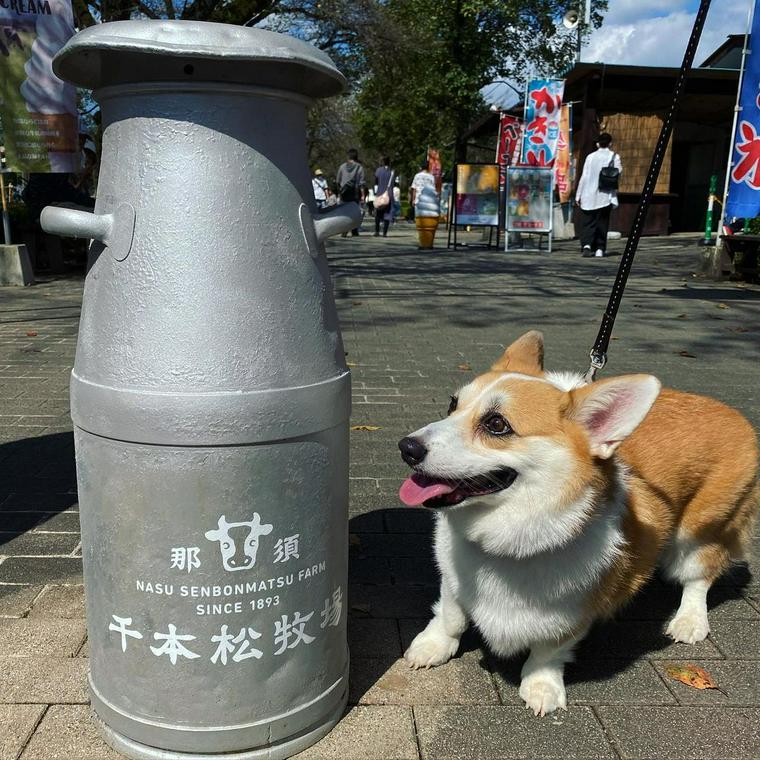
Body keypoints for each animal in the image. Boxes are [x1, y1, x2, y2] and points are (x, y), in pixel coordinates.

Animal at [398, 330, 756, 716]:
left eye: (496, 424)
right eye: (452, 405)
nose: (406, 447)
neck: (506, 535)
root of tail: (730, 411)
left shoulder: (576, 609)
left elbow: (548, 651)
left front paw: (541, 687)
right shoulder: (452, 577)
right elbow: (451, 615)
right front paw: (433, 646)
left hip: (700, 533)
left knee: (699, 577)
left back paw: (689, 620)